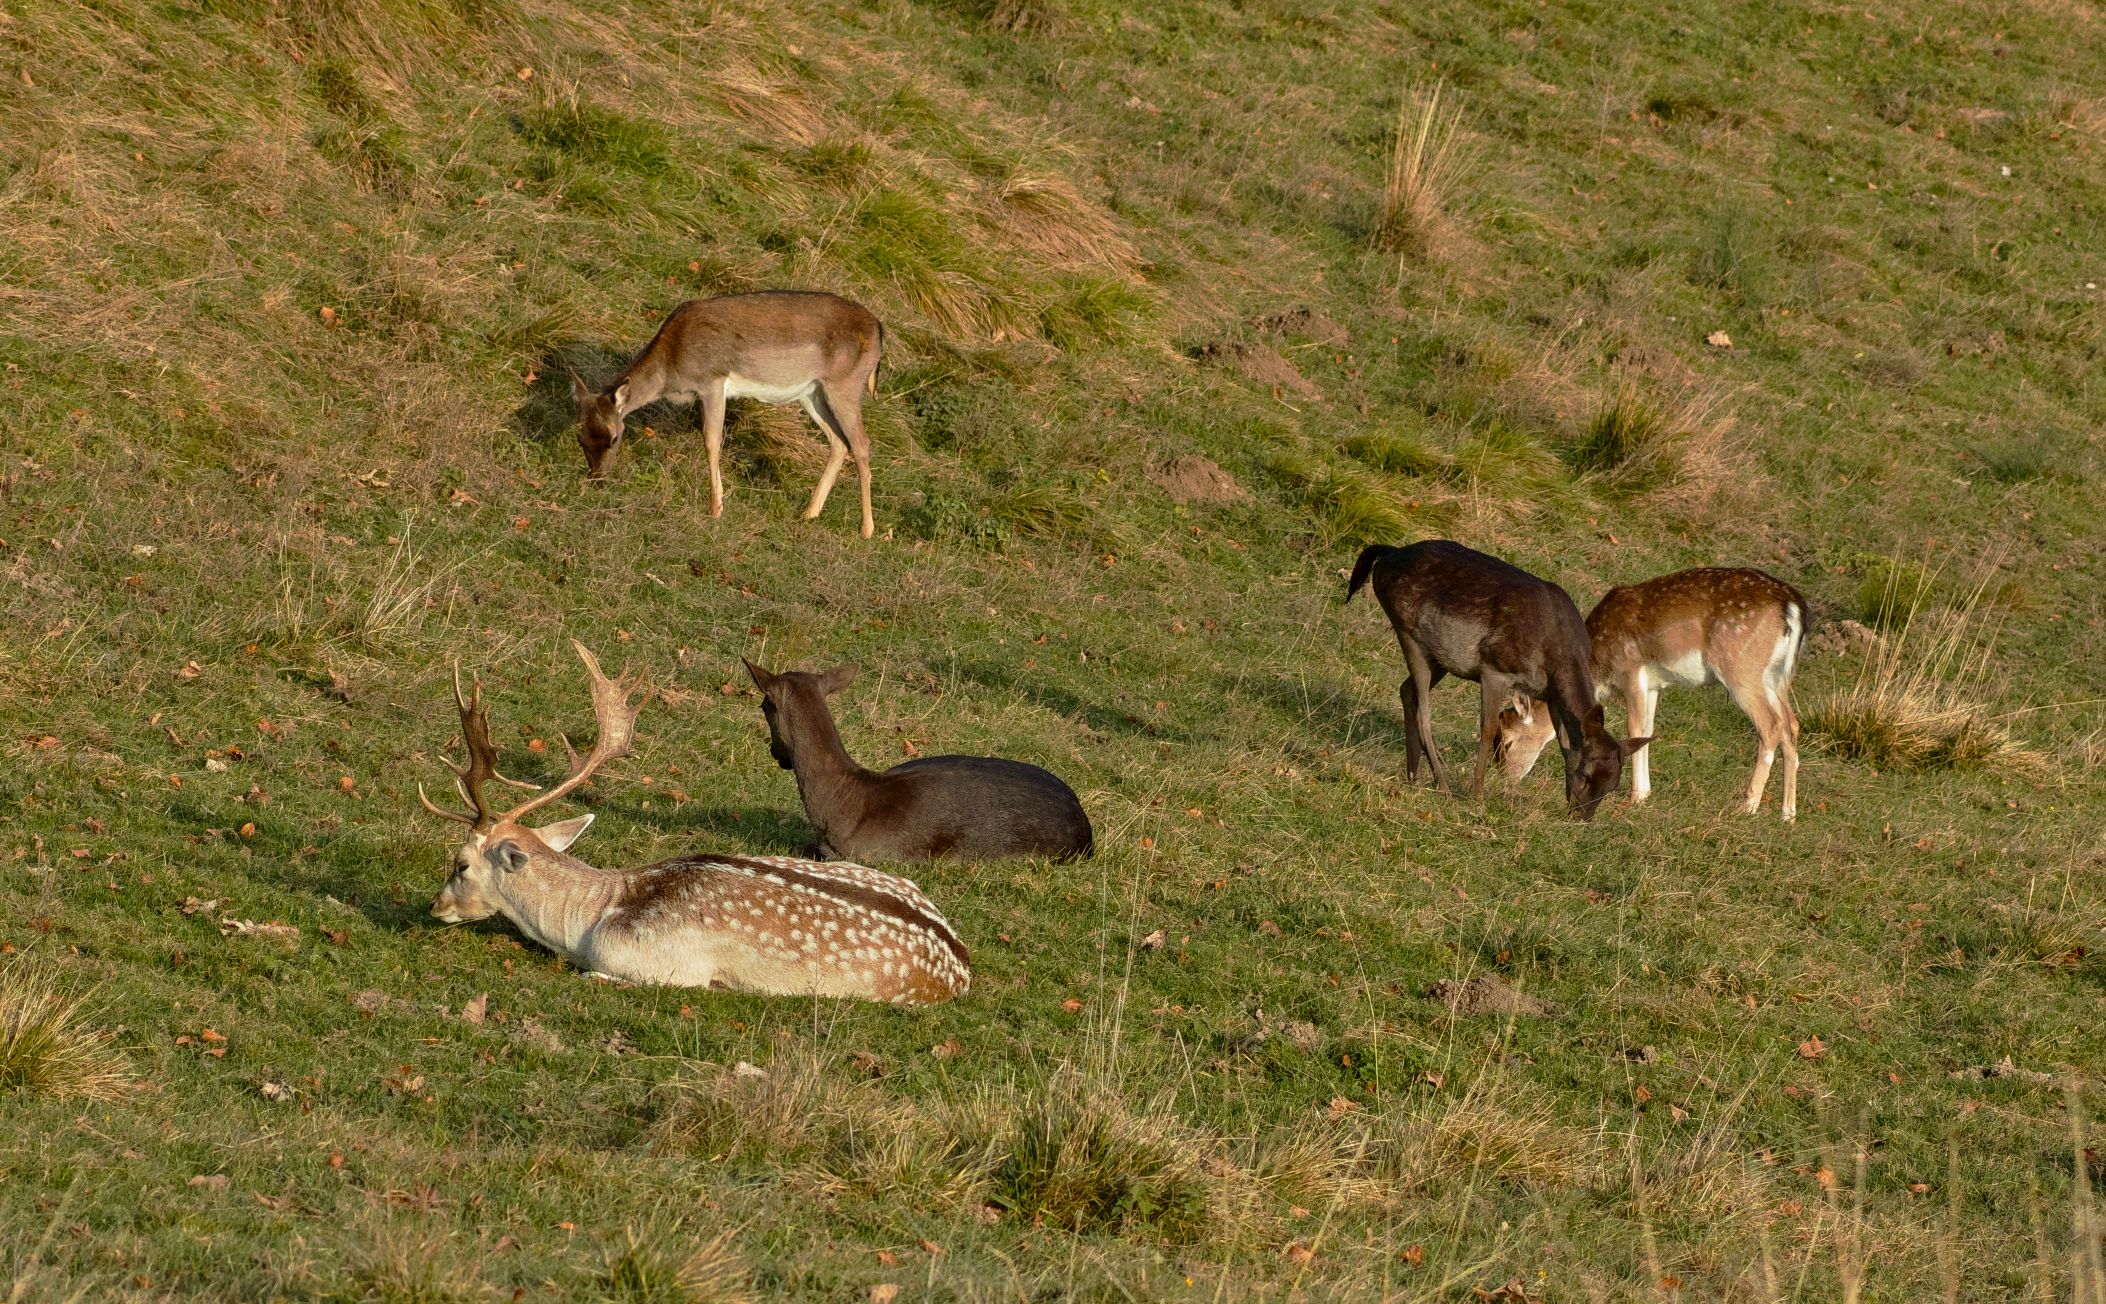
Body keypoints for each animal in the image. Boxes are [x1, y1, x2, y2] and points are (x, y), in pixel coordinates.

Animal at [419, 642, 970, 1005]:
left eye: (460, 864)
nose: (434, 906)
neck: (589, 925)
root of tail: (961, 965)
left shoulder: (671, 969)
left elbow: (593, 978)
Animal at [571, 290, 886, 538]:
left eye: (615, 437)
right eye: (580, 436)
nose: (597, 481)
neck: (672, 365)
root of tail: (880, 330)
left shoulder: (712, 381)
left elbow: (711, 442)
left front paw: (716, 509)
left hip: (845, 385)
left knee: (861, 443)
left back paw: (867, 529)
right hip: (812, 393)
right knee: (839, 442)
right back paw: (809, 513)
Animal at [1346, 540, 1650, 821]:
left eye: (1613, 785)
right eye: (1586, 773)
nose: (1581, 816)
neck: (1556, 656)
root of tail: (1389, 554)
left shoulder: (1549, 694)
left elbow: (1563, 741)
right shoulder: (1494, 669)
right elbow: (1489, 728)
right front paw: (1476, 793)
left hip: (1439, 658)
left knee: (1406, 689)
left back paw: (1414, 776)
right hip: (1408, 633)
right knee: (1424, 710)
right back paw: (1442, 785)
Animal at [1492, 567, 1808, 821]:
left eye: (1507, 742)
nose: (1505, 780)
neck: (1598, 666)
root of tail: (1793, 606)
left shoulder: (1632, 669)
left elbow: (1634, 729)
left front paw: (1636, 797)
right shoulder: (1655, 684)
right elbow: (1647, 731)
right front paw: (1644, 794)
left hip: (1740, 666)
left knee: (1771, 725)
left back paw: (1748, 807)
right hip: (1775, 676)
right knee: (1791, 724)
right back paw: (1787, 814)